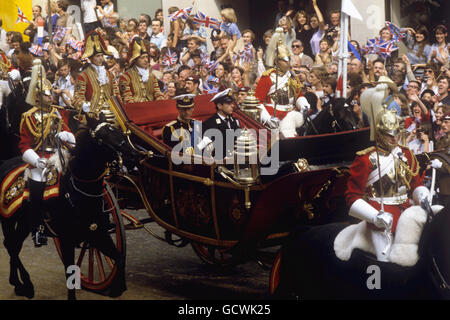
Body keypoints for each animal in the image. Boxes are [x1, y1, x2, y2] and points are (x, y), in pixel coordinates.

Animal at [0, 117, 141, 300]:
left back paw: (18, 284)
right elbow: (70, 273)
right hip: (9, 219)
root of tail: (5, 163)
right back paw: (26, 284)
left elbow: (119, 258)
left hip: (23, 223)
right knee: (11, 245)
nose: (134, 156)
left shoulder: (98, 234)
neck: (82, 191)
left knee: (13, 245)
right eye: (102, 138)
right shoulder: (66, 239)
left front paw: (118, 287)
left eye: (119, 132)